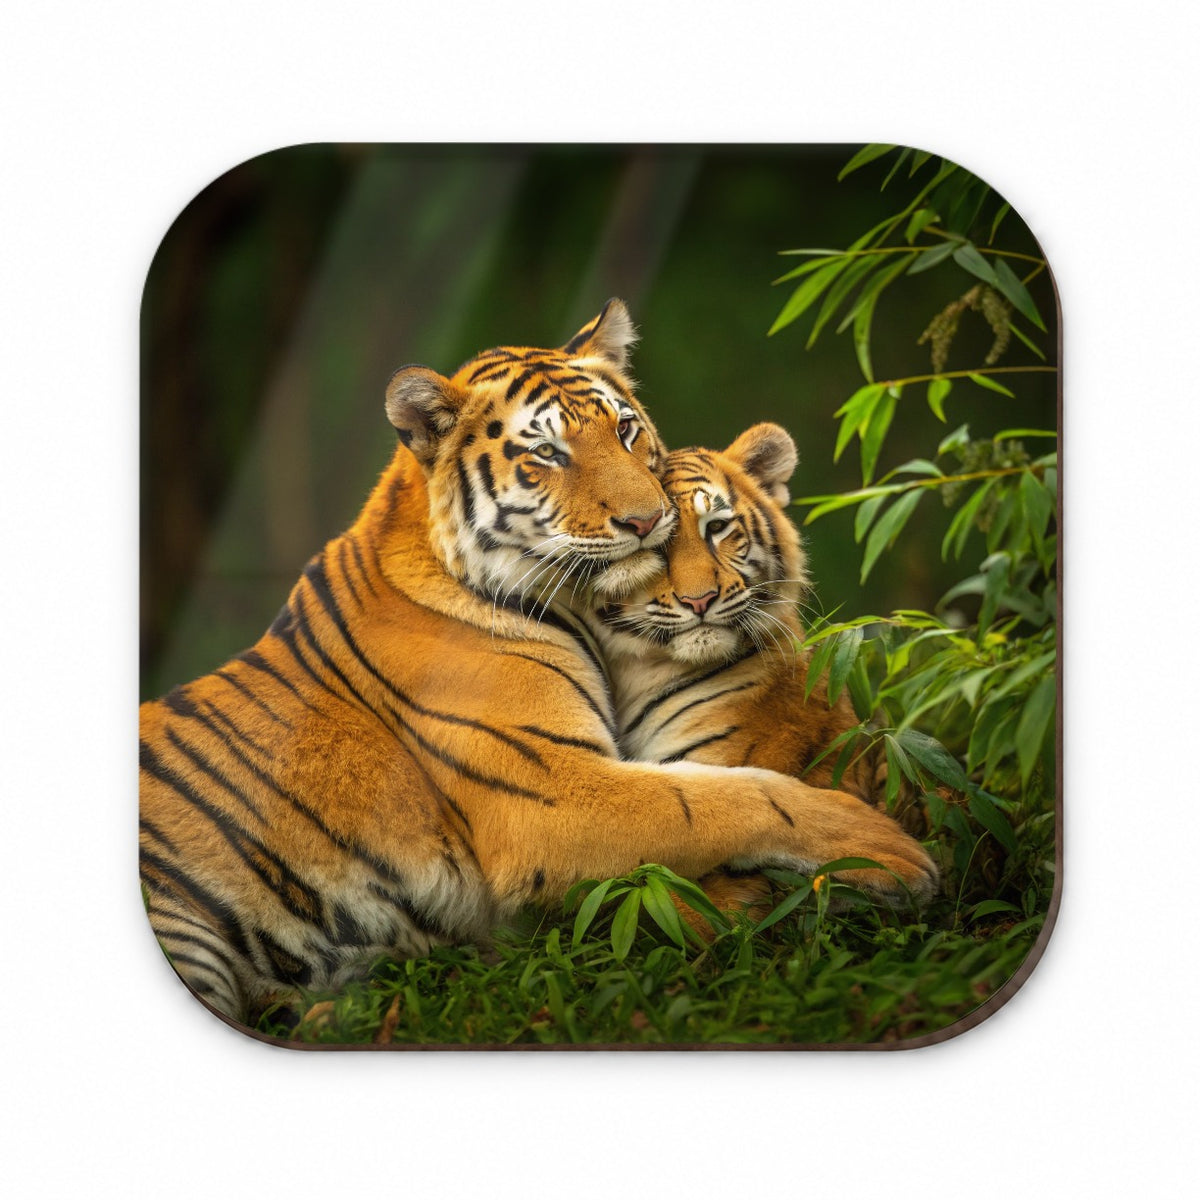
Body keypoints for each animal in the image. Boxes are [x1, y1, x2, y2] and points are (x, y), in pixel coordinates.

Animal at [139, 301, 936, 1030]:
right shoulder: (548, 792)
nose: (650, 521)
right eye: (548, 454)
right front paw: (883, 850)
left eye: (625, 429)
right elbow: (725, 799)